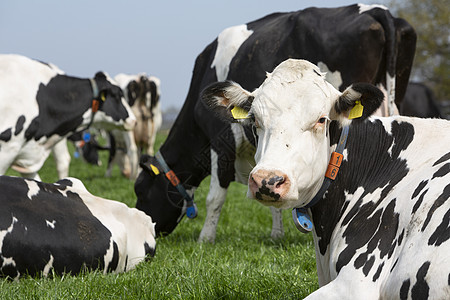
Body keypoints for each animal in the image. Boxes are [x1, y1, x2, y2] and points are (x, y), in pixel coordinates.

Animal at [135, 4, 416, 244]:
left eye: (139, 189)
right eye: (254, 119)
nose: (147, 231)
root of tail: (378, 10)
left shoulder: (221, 140)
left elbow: (215, 196)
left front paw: (205, 239)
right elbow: (273, 190)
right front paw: (276, 234)